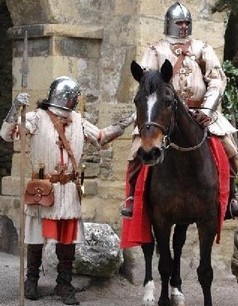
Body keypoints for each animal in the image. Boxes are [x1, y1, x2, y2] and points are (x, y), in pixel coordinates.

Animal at [131, 59, 220, 306]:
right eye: (136, 101)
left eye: (169, 102)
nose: (149, 152)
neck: (186, 168)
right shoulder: (161, 219)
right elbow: (164, 264)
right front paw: (161, 298)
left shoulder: (208, 220)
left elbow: (205, 272)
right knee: (149, 247)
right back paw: (149, 292)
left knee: (178, 245)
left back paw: (177, 290)